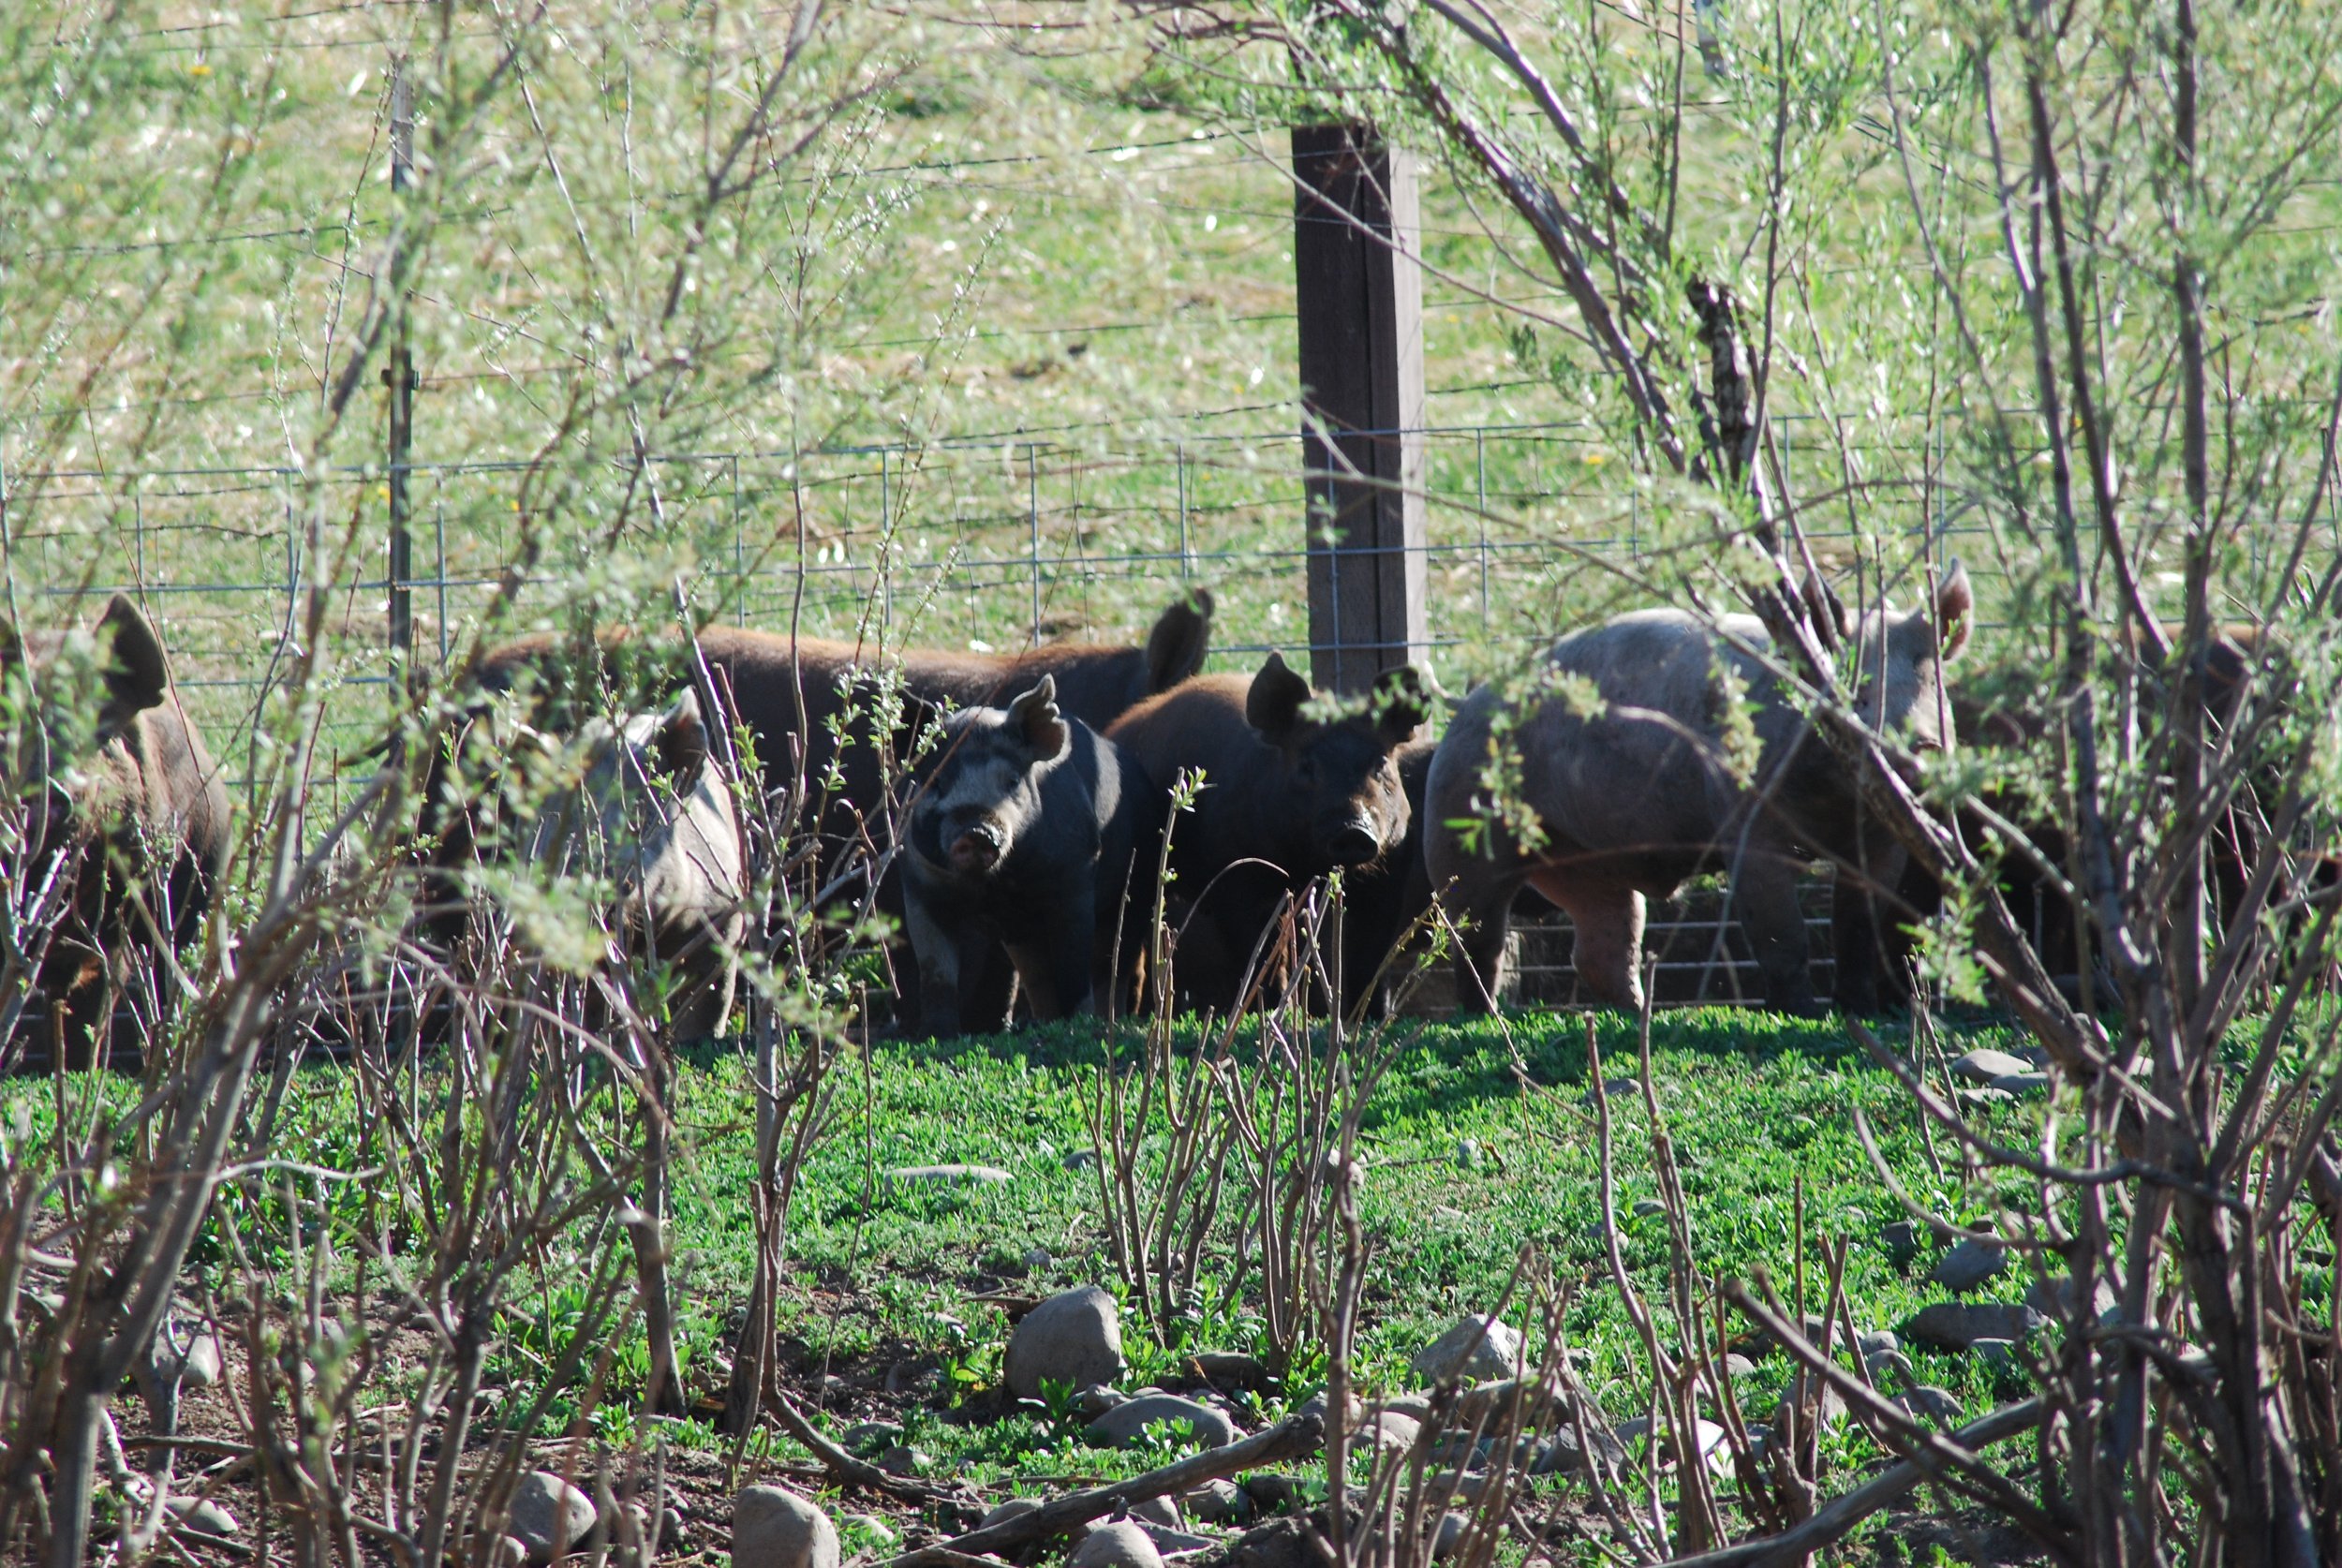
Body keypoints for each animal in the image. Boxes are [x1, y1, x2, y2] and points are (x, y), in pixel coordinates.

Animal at [899, 669, 1157, 1039]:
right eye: (937, 783)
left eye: (1011, 781)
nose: (976, 830)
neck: (996, 886)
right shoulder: (920, 884)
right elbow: (937, 972)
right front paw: (937, 1036)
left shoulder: (1076, 878)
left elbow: (1074, 967)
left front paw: (1078, 1025)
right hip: (1021, 932)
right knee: (1037, 974)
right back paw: (1044, 1024)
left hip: (1141, 882)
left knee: (1114, 962)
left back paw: (1108, 1021)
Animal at [1415, 569, 1967, 1020]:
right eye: (1860, 695)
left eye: (1932, 686)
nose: (1921, 746)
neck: (1836, 804)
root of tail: (1465, 704)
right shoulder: (1747, 823)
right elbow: (1781, 931)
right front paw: (1800, 1013)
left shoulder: (1881, 841)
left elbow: (1857, 927)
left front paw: (1859, 1011)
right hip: (1459, 826)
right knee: (1475, 935)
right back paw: (1485, 1015)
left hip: (1587, 864)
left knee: (1604, 943)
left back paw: (1636, 1012)